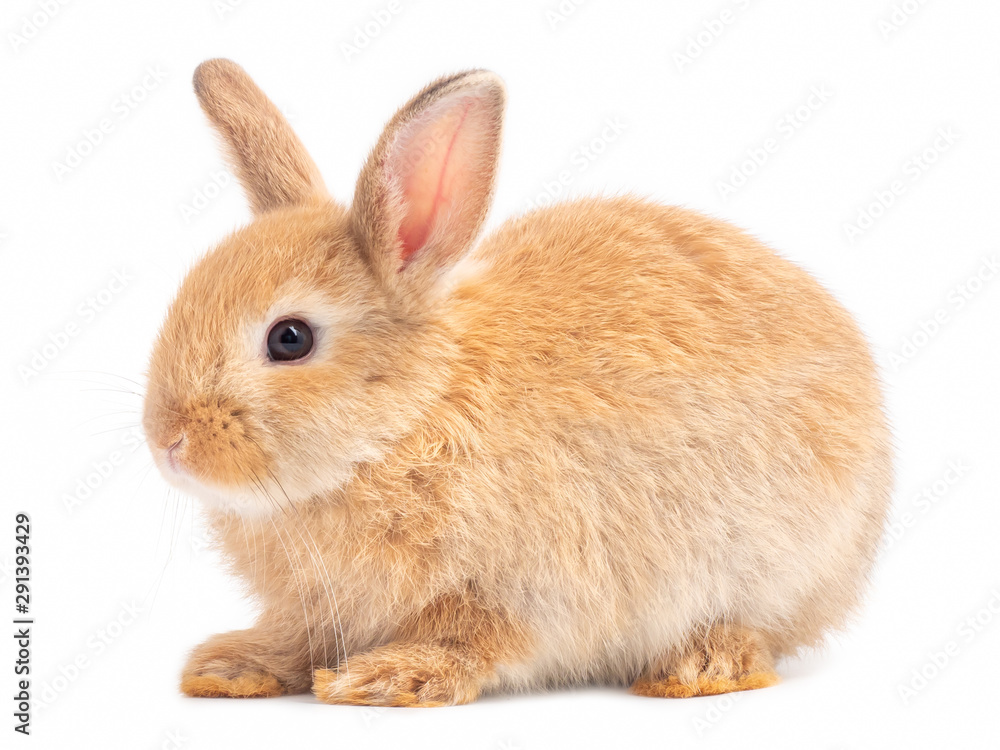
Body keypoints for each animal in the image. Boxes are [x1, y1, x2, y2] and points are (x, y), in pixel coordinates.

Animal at [141, 60, 892, 712]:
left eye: (289, 339)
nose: (167, 441)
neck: (407, 420)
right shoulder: (317, 609)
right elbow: (298, 640)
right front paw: (231, 666)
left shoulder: (529, 584)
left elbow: (474, 639)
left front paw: (388, 678)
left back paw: (696, 668)